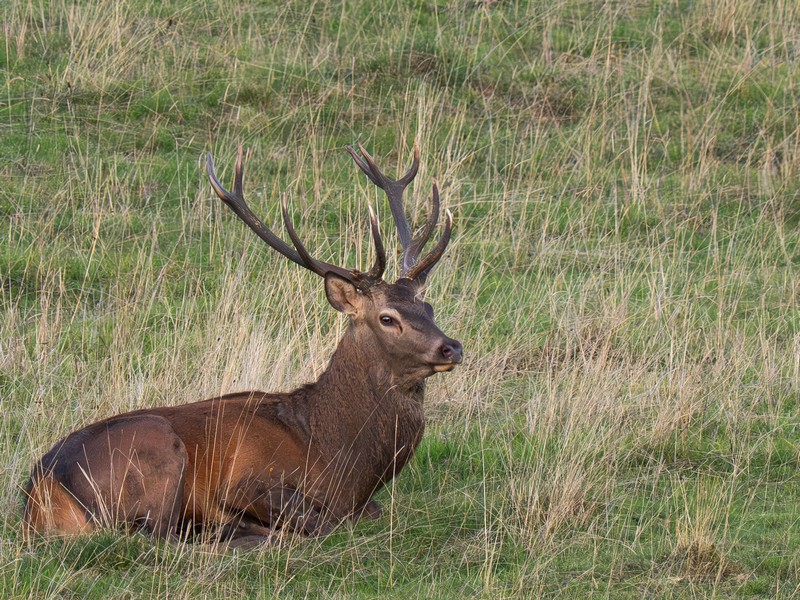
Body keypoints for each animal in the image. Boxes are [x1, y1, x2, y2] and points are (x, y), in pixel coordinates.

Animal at [23, 144, 462, 546]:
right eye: (387, 318)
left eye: (428, 306)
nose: (451, 348)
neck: (338, 458)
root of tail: (39, 494)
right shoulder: (245, 480)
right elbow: (321, 522)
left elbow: (368, 513)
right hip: (157, 448)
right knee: (159, 536)